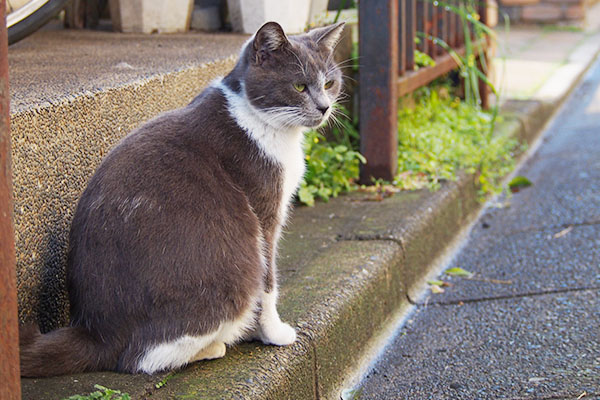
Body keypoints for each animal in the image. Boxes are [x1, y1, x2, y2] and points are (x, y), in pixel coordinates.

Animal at [19, 21, 346, 378]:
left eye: (329, 83)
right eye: (299, 86)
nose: (324, 107)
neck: (260, 120)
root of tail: (94, 331)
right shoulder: (264, 211)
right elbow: (269, 283)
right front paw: (274, 333)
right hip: (235, 266)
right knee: (140, 357)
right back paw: (213, 346)